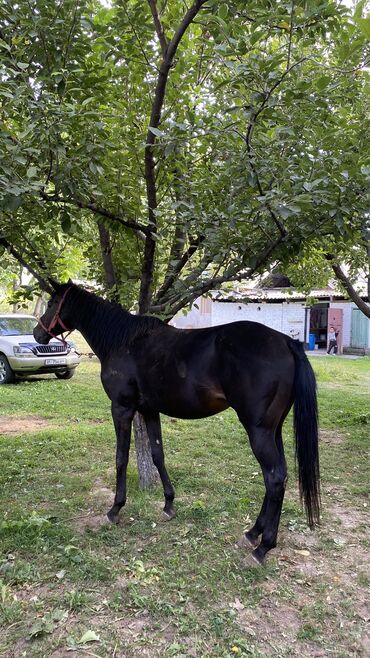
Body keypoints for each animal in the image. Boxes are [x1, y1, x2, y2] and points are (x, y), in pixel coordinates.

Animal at [33, 280, 320, 560]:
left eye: (53, 302)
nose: (37, 334)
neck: (123, 342)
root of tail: (286, 342)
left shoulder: (122, 408)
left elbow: (121, 458)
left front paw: (115, 509)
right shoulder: (149, 410)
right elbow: (157, 454)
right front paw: (169, 504)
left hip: (258, 431)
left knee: (274, 477)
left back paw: (263, 547)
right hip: (274, 429)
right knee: (279, 476)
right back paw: (253, 534)